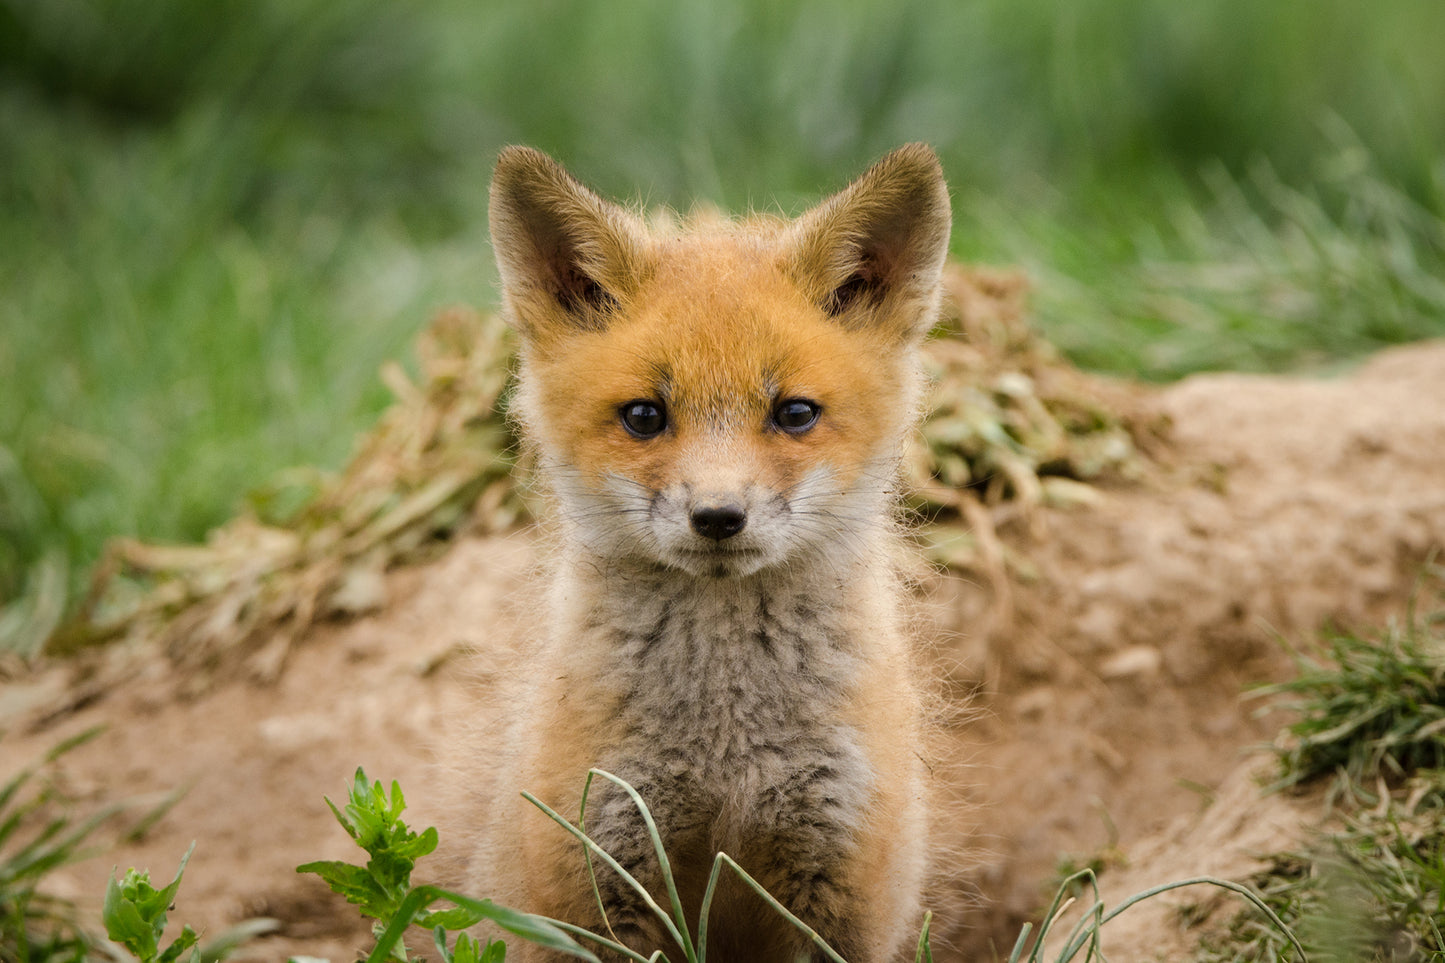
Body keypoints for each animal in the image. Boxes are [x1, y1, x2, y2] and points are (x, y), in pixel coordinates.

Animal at [468, 144, 953, 960]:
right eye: (643, 416)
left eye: (794, 413)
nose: (718, 517)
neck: (726, 750)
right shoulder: (598, 876)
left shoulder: (841, 885)